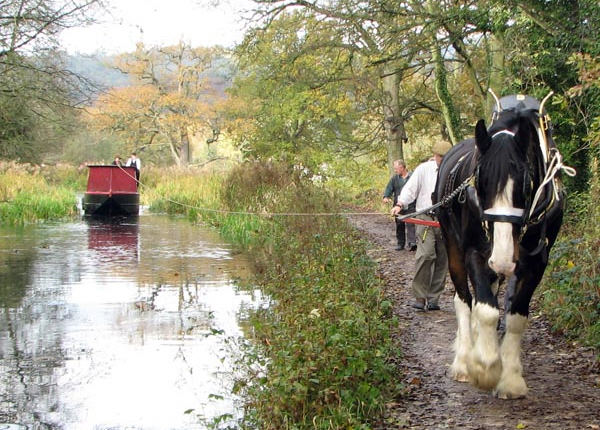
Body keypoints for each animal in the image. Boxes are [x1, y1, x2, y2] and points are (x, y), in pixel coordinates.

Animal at [434, 95, 576, 400]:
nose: (501, 259)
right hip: (453, 247)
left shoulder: (536, 262)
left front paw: (510, 379)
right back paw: (464, 360)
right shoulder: (476, 253)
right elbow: (486, 311)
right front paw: (485, 367)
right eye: (479, 180)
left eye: (526, 183)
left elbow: (515, 317)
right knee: (464, 300)